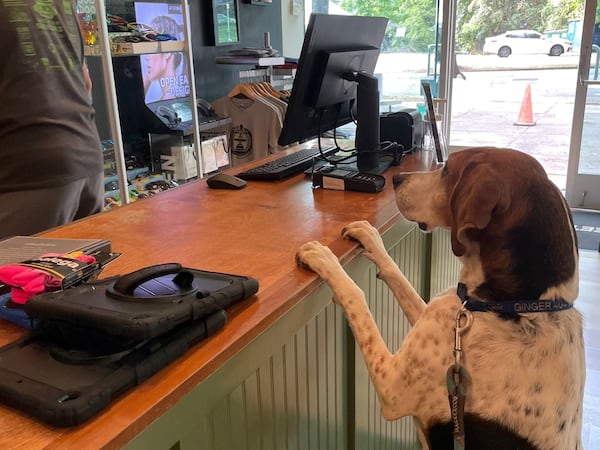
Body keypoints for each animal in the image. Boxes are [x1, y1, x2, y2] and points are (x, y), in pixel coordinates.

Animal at [296, 149, 584, 450]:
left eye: (447, 172)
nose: (396, 178)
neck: (518, 306)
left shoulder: (391, 384)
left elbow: (356, 295)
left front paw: (324, 259)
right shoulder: (438, 317)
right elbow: (396, 273)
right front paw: (370, 237)